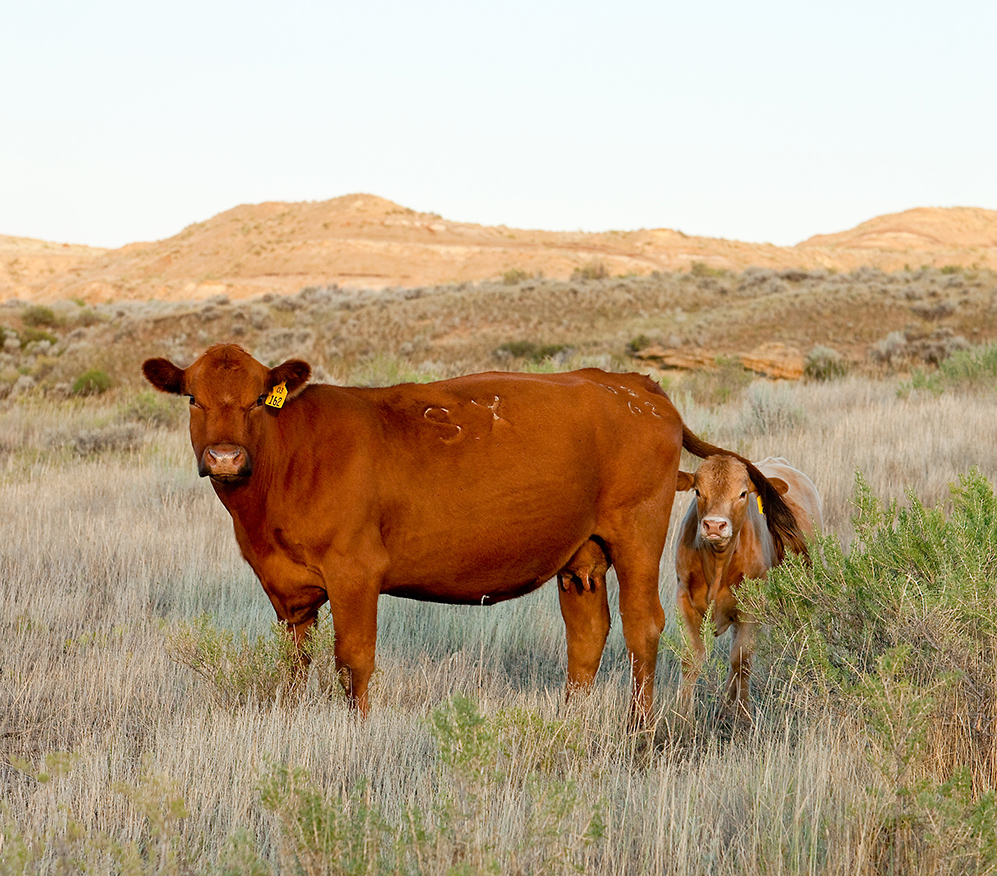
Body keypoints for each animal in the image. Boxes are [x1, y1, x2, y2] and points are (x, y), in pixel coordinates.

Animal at [144, 346, 804, 724]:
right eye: (194, 398)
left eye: (259, 399)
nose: (225, 457)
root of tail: (637, 386)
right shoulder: (286, 589)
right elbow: (294, 661)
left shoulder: (355, 572)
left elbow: (353, 659)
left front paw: (356, 733)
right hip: (582, 555)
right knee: (587, 636)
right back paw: (571, 720)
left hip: (636, 534)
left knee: (644, 629)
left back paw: (638, 732)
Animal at [672, 458, 820, 720]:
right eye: (698, 491)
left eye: (742, 494)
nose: (714, 525)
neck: (717, 565)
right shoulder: (684, 599)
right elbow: (691, 658)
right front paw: (682, 718)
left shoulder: (752, 608)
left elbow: (742, 660)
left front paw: (743, 716)